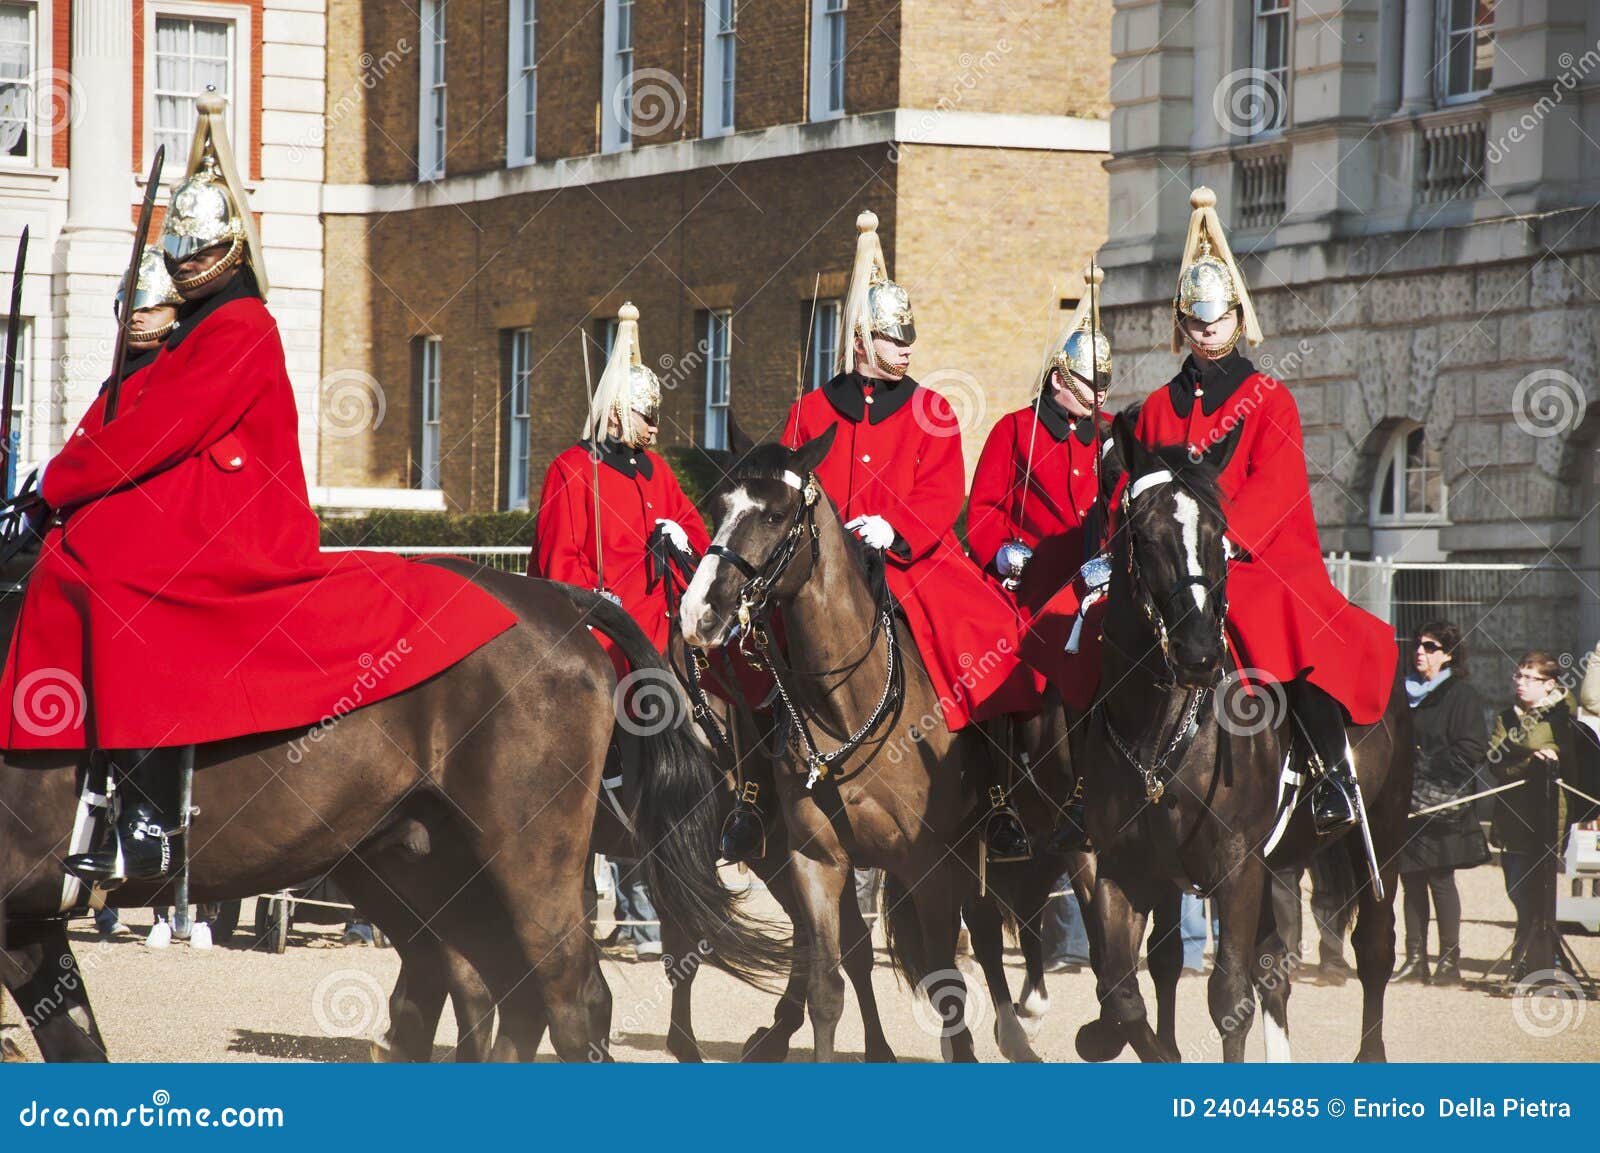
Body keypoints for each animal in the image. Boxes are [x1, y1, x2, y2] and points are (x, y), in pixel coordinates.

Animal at [0, 563, 780, 1062]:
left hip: (525, 865)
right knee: (487, 990)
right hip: (412, 865)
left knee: (570, 999)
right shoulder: (31, 921)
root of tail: (558, 599)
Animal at [1075, 414, 1410, 1063]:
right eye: (1143, 535)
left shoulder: (1234, 867)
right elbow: (1124, 996)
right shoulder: (1124, 869)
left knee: (1375, 950)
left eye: (1218, 533)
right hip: (1276, 863)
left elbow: (1228, 997)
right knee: (1273, 966)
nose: (1199, 653)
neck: (1161, 731)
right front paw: (1116, 1037)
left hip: (1380, 830)